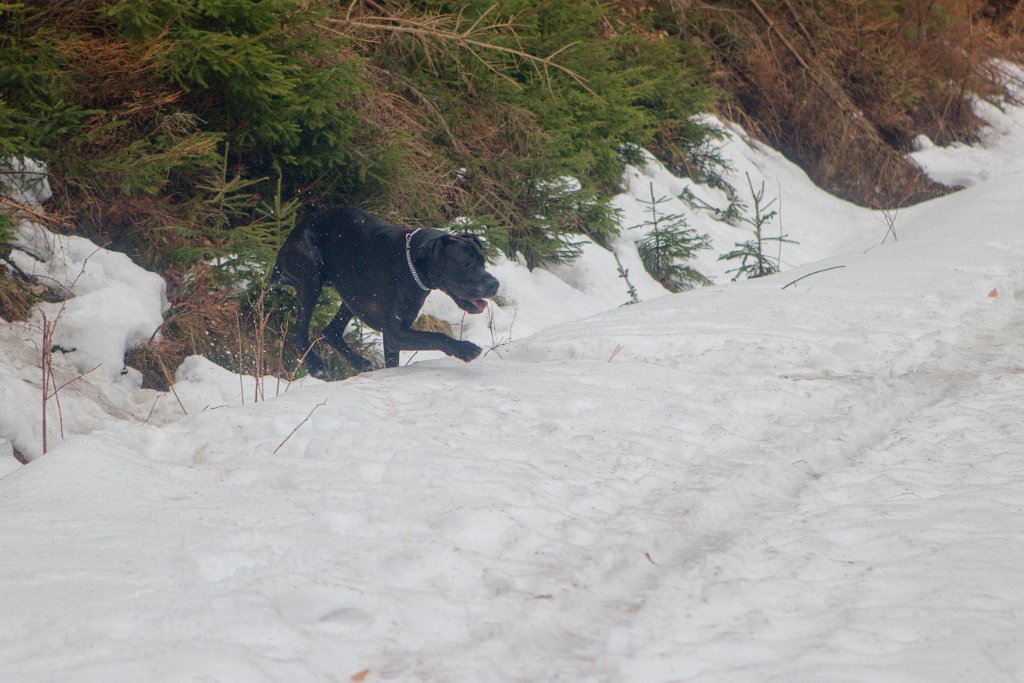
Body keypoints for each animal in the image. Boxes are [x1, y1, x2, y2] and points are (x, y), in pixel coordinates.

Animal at [270, 208, 497, 378]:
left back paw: (359, 362)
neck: (412, 262)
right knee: (299, 330)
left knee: (331, 331)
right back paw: (315, 365)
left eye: (483, 262)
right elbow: (438, 336)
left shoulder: (393, 335)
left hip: (351, 295)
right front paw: (465, 349)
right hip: (311, 280)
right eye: (465, 264)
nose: (494, 284)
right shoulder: (395, 332)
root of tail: (293, 234)